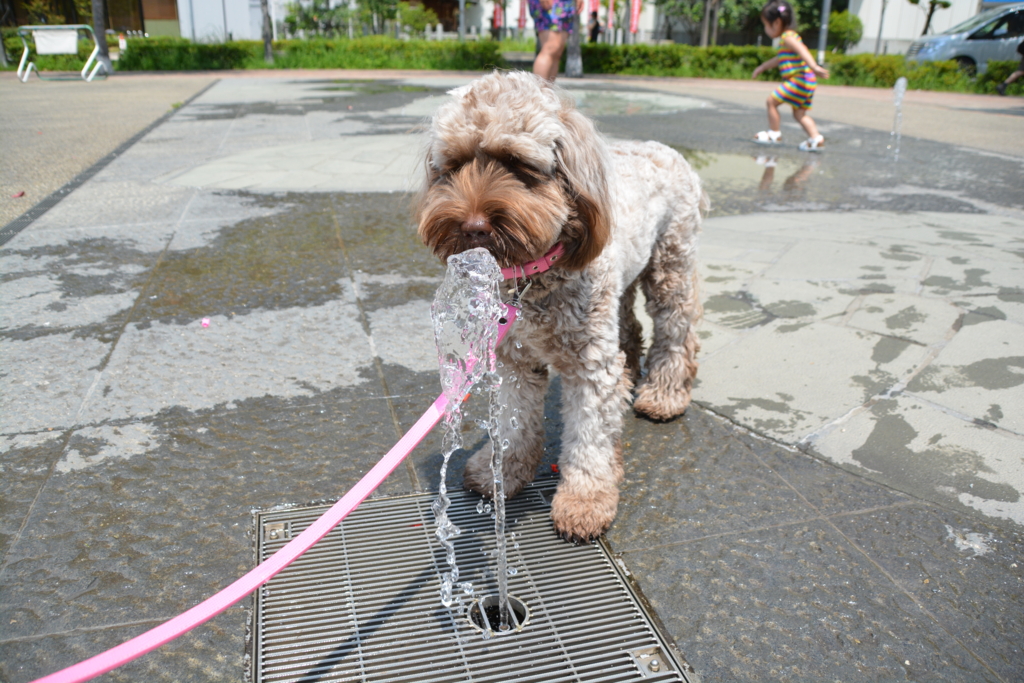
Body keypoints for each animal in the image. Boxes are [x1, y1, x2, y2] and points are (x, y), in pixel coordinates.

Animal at [415, 69, 704, 540]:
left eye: (517, 163)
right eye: (454, 166)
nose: (472, 226)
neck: (535, 276)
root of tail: (661, 148)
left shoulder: (589, 365)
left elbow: (589, 435)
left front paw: (584, 500)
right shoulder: (514, 358)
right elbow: (515, 422)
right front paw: (502, 472)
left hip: (671, 261)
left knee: (676, 328)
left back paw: (664, 394)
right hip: (620, 284)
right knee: (628, 325)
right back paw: (630, 372)